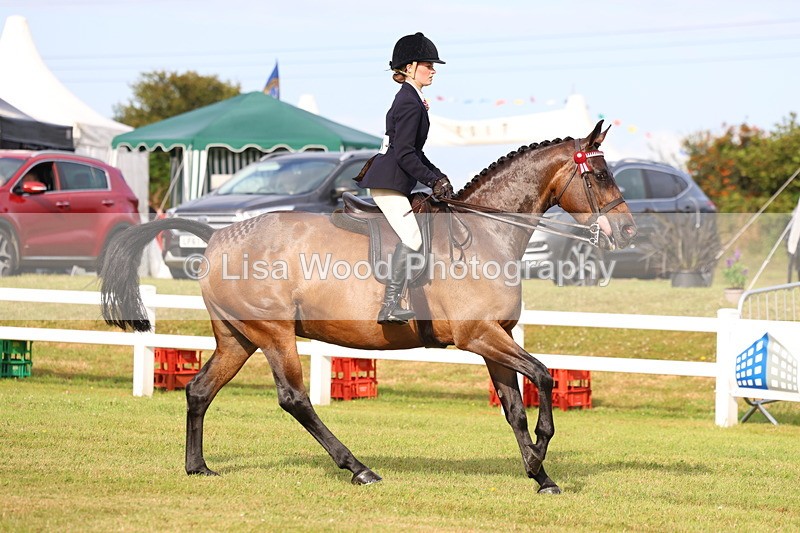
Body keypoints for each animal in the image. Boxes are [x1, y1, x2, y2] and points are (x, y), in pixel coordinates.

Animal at [98, 120, 636, 494]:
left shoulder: (494, 340)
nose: (628, 230)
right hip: (274, 335)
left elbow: (514, 409)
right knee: (294, 399)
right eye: (601, 174)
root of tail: (217, 237)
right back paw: (359, 469)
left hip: (238, 338)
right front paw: (543, 451)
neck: (485, 233)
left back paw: (198, 467)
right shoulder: (479, 335)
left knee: (199, 390)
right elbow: (543, 377)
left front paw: (539, 473)